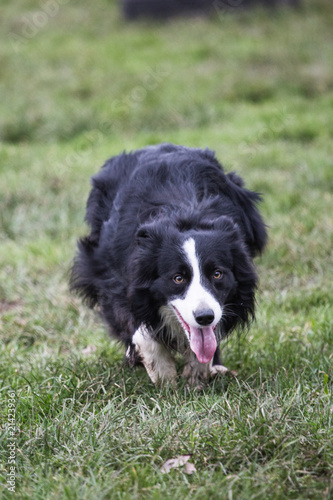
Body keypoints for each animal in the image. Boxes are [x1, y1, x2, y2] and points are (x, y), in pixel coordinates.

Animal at [70, 143, 268, 384]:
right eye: (178, 278)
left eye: (217, 274)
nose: (204, 317)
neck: (185, 215)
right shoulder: (115, 269)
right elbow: (130, 314)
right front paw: (164, 375)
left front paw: (198, 372)